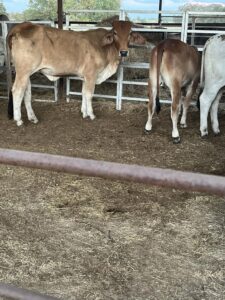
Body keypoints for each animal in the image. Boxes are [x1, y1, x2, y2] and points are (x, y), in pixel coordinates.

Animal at [7, 20, 145, 125]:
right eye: (115, 33)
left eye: (130, 33)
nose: (124, 52)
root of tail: (22, 26)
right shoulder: (91, 75)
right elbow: (89, 94)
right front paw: (91, 114)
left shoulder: (85, 77)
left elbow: (83, 93)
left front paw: (84, 113)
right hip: (23, 71)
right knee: (17, 91)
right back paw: (19, 120)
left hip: (26, 73)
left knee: (27, 92)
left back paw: (32, 118)